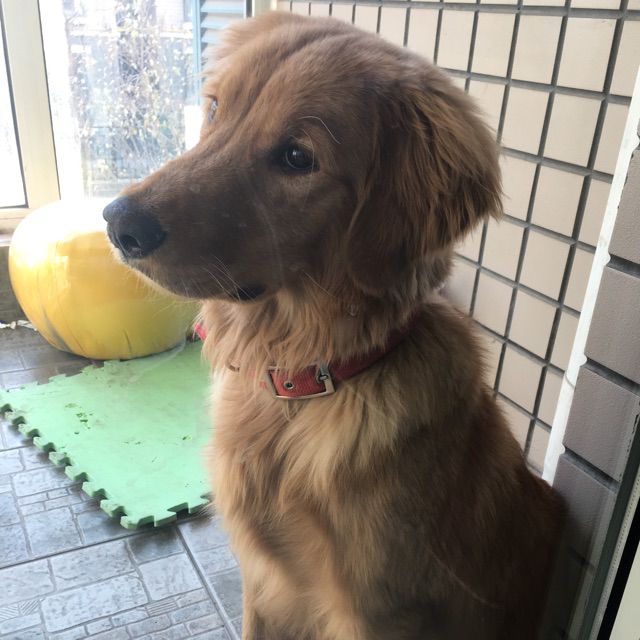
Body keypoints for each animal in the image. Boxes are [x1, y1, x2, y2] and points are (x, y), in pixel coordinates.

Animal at [104, 12, 564, 639]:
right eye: (217, 107)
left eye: (299, 157)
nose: (118, 223)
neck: (296, 393)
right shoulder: (261, 581)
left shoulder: (375, 611)